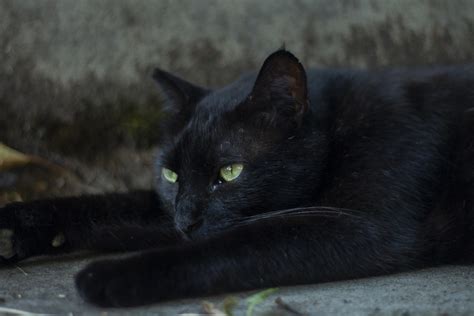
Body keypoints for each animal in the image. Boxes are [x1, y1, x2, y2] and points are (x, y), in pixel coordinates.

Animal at [0, 50, 474, 308]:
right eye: (171, 174)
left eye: (229, 173)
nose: (186, 220)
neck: (337, 128)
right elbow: (107, 207)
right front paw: (16, 226)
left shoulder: (359, 225)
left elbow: (225, 248)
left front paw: (109, 276)